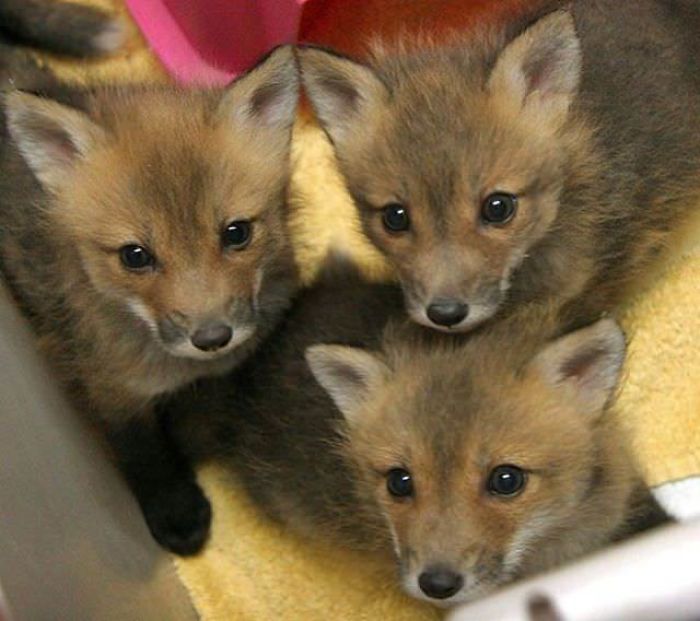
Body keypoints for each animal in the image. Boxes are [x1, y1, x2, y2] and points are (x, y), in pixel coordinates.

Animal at [0, 46, 300, 554]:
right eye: (135, 256)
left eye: (236, 233)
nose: (212, 337)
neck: (182, 371)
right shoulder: (110, 386)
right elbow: (143, 451)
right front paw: (175, 508)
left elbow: (205, 413)